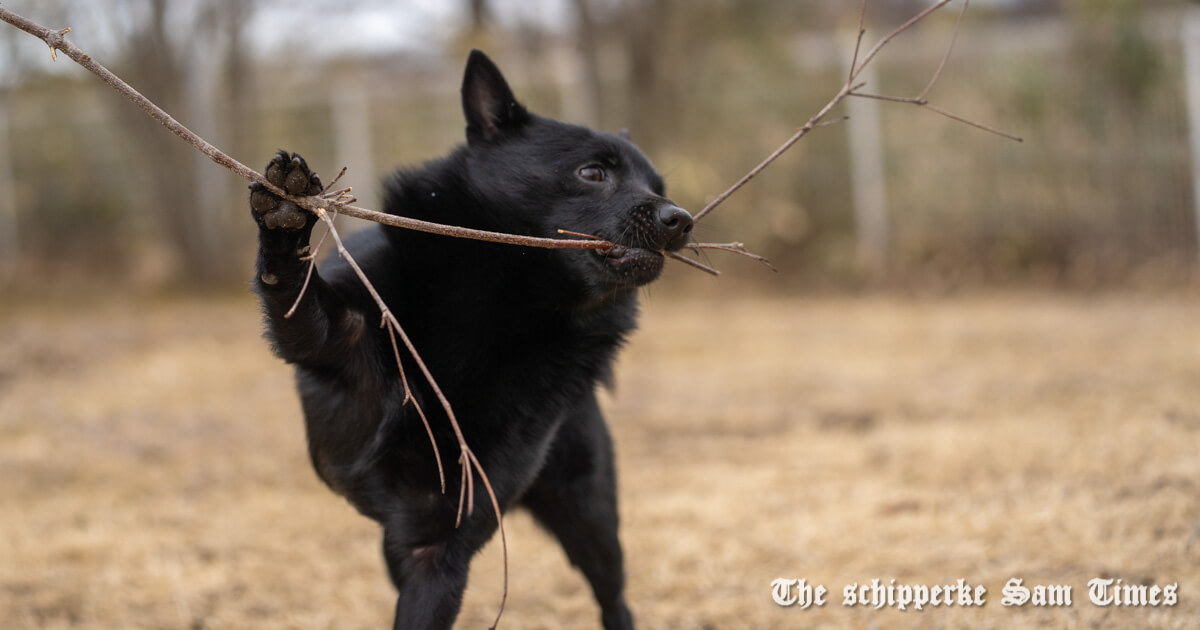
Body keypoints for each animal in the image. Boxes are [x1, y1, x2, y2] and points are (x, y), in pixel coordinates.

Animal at [248, 50, 691, 628]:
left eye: (656, 185)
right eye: (593, 172)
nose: (682, 219)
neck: (500, 309)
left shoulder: (439, 547)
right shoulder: (330, 335)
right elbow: (295, 289)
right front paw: (288, 216)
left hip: (589, 518)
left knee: (613, 595)